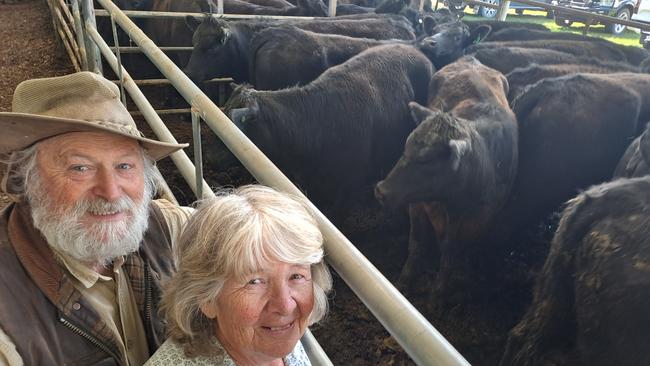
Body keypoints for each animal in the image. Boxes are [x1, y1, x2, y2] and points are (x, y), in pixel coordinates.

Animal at [370, 56, 516, 298]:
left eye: (426, 160)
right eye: (406, 147)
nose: (381, 191)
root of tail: (471, 60)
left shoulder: (478, 221)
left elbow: (450, 253)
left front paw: (437, 295)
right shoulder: (417, 204)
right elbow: (416, 243)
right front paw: (403, 283)